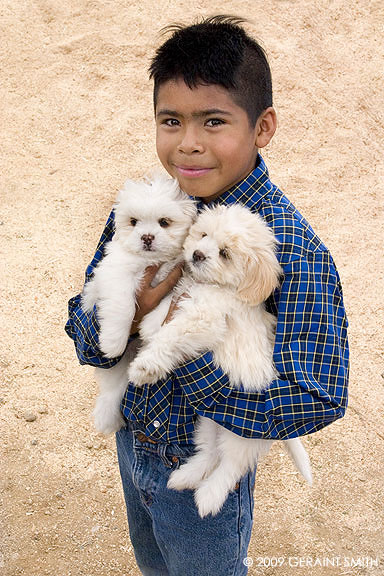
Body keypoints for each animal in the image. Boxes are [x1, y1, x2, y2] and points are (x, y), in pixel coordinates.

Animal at [80, 173, 195, 434]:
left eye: (164, 222)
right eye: (133, 222)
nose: (147, 237)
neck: (153, 262)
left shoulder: (178, 277)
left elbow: (166, 303)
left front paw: (151, 326)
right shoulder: (116, 273)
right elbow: (124, 307)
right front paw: (112, 343)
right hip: (116, 367)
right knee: (111, 392)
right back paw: (106, 419)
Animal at [128, 205, 312, 520]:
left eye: (225, 253)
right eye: (204, 235)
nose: (198, 254)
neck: (217, 286)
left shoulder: (203, 321)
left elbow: (172, 335)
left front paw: (144, 366)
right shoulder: (185, 295)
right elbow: (166, 311)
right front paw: (150, 324)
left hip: (241, 435)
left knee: (230, 467)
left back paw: (208, 497)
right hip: (209, 422)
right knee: (210, 453)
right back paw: (184, 478)